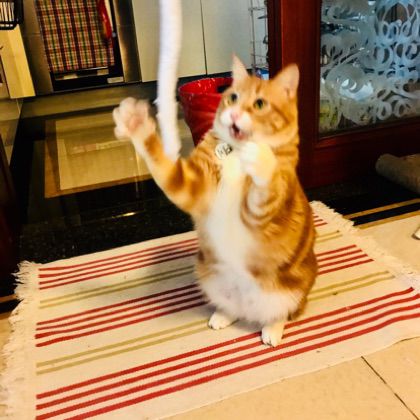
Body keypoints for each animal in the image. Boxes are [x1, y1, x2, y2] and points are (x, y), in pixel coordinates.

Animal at [113, 56, 317, 347]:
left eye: (259, 104)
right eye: (232, 97)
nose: (234, 114)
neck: (236, 153)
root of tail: (249, 310)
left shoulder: (263, 212)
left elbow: (267, 188)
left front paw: (261, 158)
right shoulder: (192, 187)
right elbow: (160, 160)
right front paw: (135, 124)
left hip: (291, 293)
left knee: (282, 312)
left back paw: (271, 330)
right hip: (208, 275)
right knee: (232, 307)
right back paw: (224, 315)